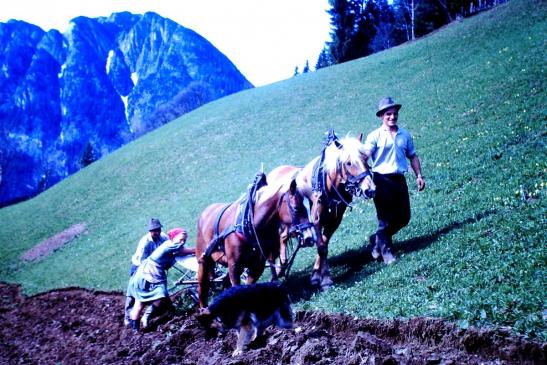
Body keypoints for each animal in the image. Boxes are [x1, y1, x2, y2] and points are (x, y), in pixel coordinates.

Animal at [196, 171, 316, 308]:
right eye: (296, 208)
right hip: (203, 261)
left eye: (310, 205)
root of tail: (204, 214)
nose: (309, 238)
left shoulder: (257, 266)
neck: (249, 226)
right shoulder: (234, 267)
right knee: (202, 287)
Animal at [266, 129, 376, 288]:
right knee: (281, 237)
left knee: (284, 236)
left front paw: (317, 275)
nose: (370, 189)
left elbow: (324, 245)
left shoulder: (334, 221)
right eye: (348, 163)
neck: (325, 187)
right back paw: (279, 269)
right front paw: (324, 279)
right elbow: (321, 246)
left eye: (366, 158)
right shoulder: (315, 221)